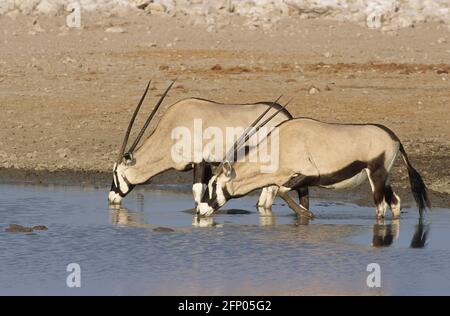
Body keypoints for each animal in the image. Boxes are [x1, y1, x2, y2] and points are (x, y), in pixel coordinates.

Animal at [107, 81, 294, 210]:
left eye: (116, 173)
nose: (110, 198)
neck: (171, 130)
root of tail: (286, 116)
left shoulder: (200, 161)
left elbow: (197, 190)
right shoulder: (208, 164)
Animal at [199, 116, 430, 220]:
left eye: (214, 185)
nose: (200, 211)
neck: (280, 145)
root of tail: (394, 138)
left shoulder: (306, 175)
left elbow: (282, 191)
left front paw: (307, 215)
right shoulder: (301, 184)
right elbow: (298, 199)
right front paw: (305, 216)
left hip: (376, 175)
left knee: (380, 206)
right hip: (385, 178)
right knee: (395, 202)